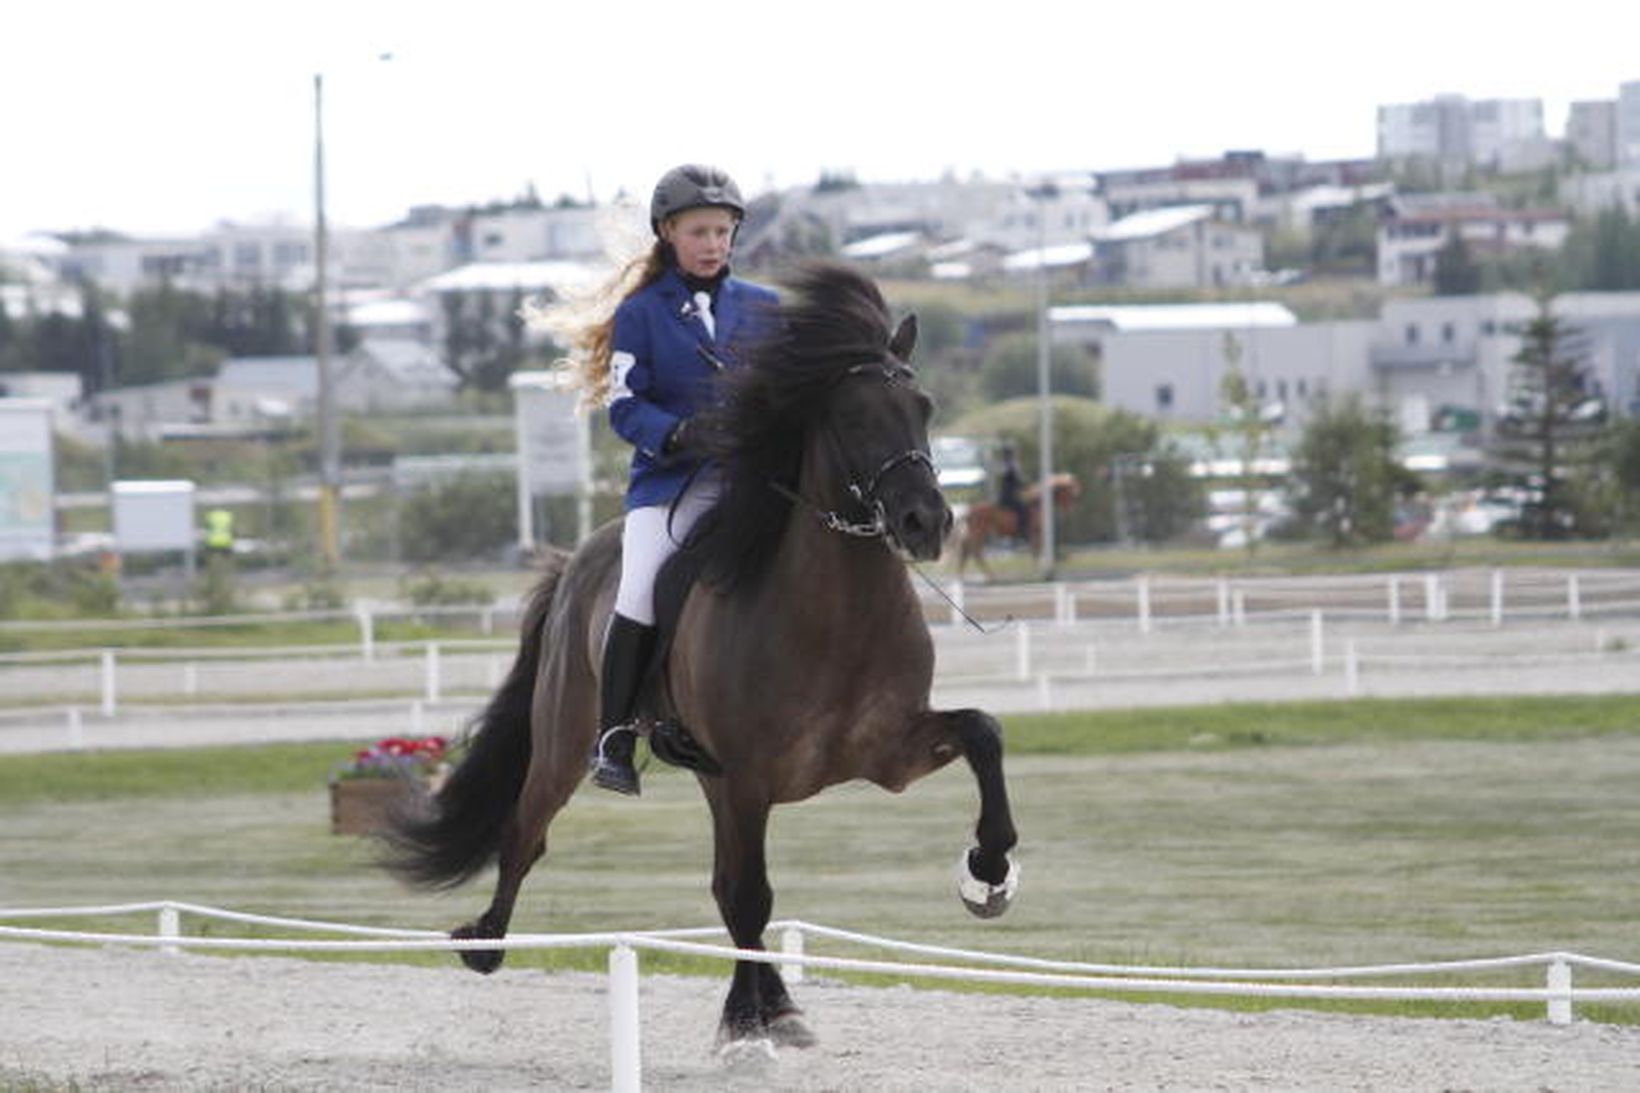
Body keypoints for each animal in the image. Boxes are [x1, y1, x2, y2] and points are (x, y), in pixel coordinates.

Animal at [388, 262, 1016, 1050]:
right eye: (851, 415)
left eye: (923, 405)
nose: (925, 520)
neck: (836, 615)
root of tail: (577, 559)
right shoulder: (746, 777)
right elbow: (749, 895)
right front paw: (748, 1020)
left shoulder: (888, 753)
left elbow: (982, 730)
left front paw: (989, 870)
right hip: (572, 742)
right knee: (530, 831)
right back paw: (486, 940)